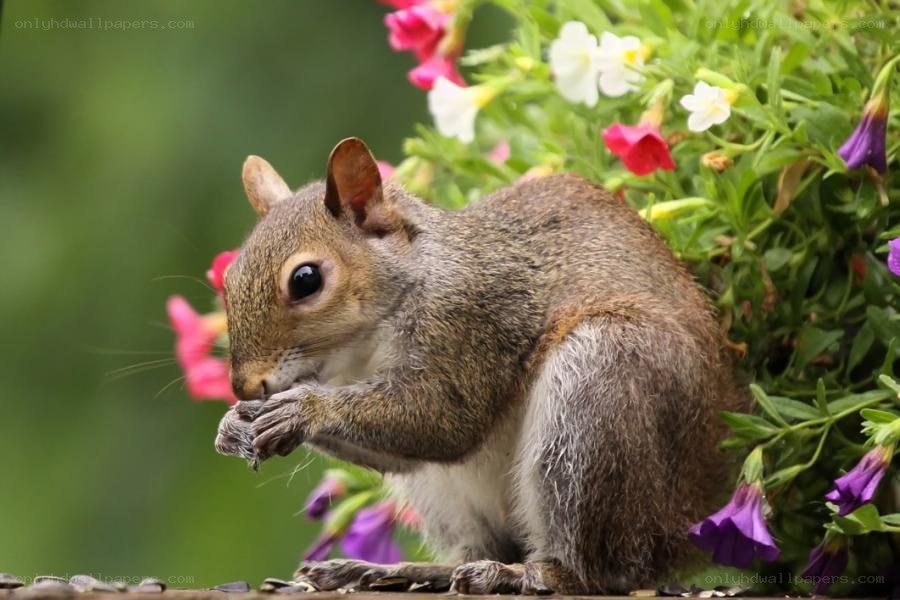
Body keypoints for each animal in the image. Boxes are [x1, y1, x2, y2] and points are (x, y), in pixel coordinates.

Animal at [214, 137, 745, 595]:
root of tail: (684, 518)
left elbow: (446, 421)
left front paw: (303, 410)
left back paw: (526, 574)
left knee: (601, 571)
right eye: (229, 277)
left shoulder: (473, 321)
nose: (244, 386)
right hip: (449, 496)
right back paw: (397, 571)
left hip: (597, 393)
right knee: (480, 547)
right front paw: (233, 425)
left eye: (306, 279)